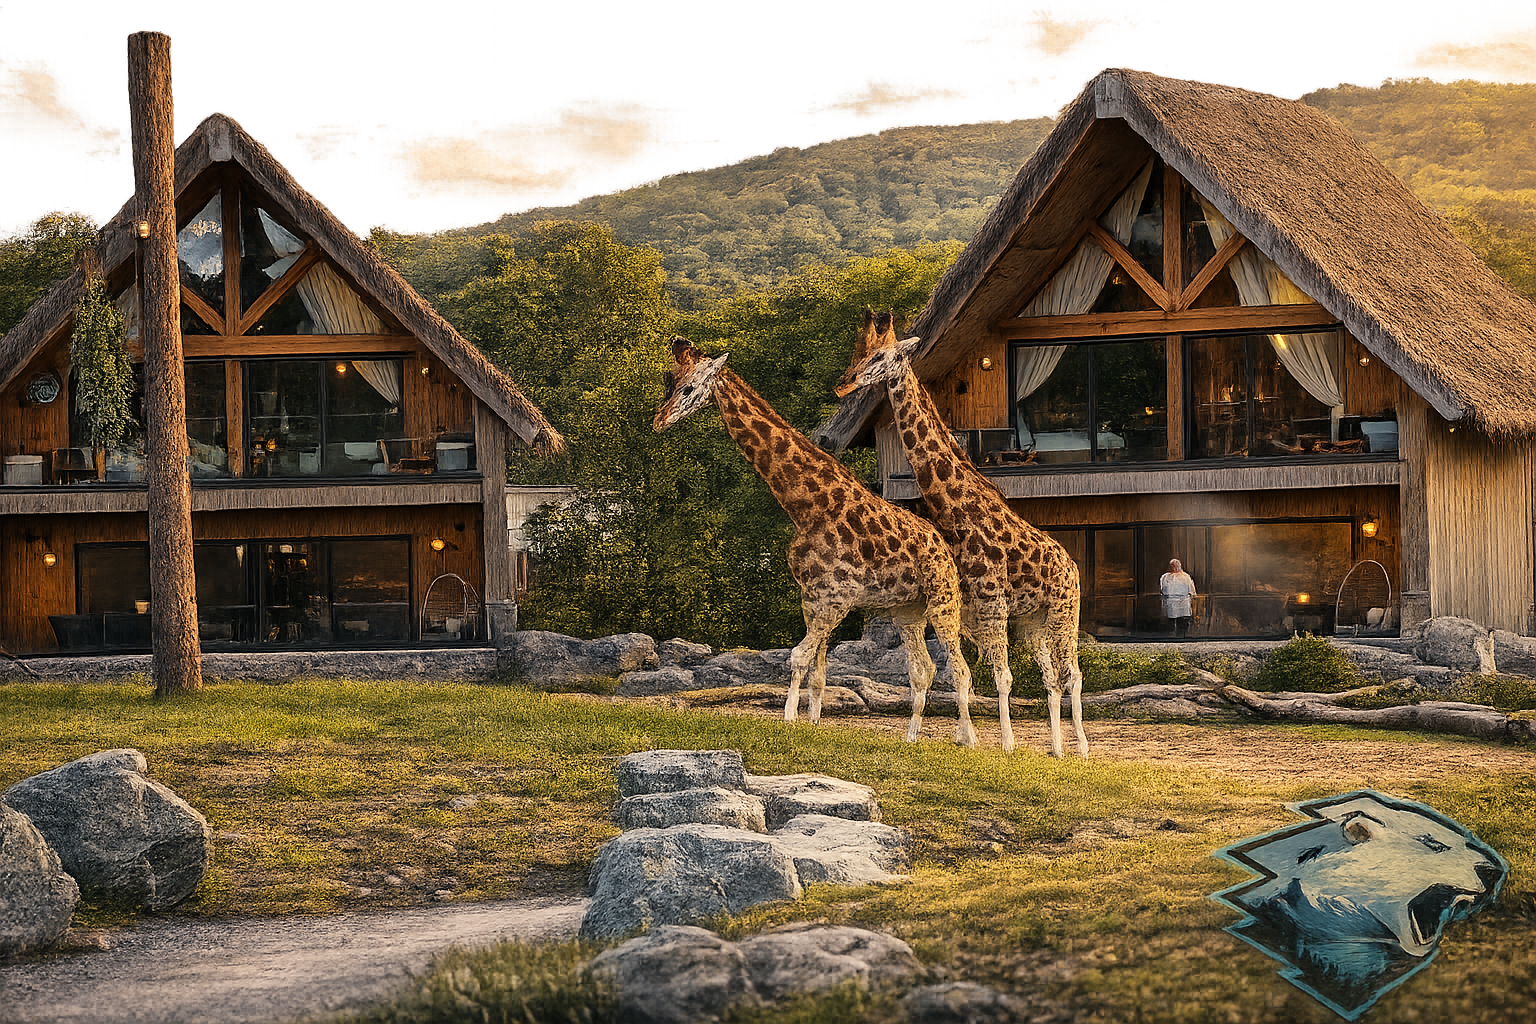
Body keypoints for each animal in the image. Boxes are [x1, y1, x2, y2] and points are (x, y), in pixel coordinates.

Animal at [654, 337, 980, 746]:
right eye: (670, 382)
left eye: (688, 387)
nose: (658, 420)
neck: (805, 506)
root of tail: (943, 547)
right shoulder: (812, 599)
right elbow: (818, 673)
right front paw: (812, 724)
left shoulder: (834, 598)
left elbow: (797, 658)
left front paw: (789, 719)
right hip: (908, 612)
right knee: (923, 670)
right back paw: (911, 738)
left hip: (942, 600)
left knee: (960, 669)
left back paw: (969, 740)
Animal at [835, 312, 1089, 758]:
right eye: (859, 352)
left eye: (881, 355)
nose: (845, 384)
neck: (953, 509)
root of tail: (1072, 563)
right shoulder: (966, 606)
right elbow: (960, 674)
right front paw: (962, 737)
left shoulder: (991, 603)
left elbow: (998, 677)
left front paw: (1004, 744)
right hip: (1033, 620)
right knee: (1050, 678)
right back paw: (1056, 749)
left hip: (1064, 609)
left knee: (1071, 674)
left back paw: (1083, 749)